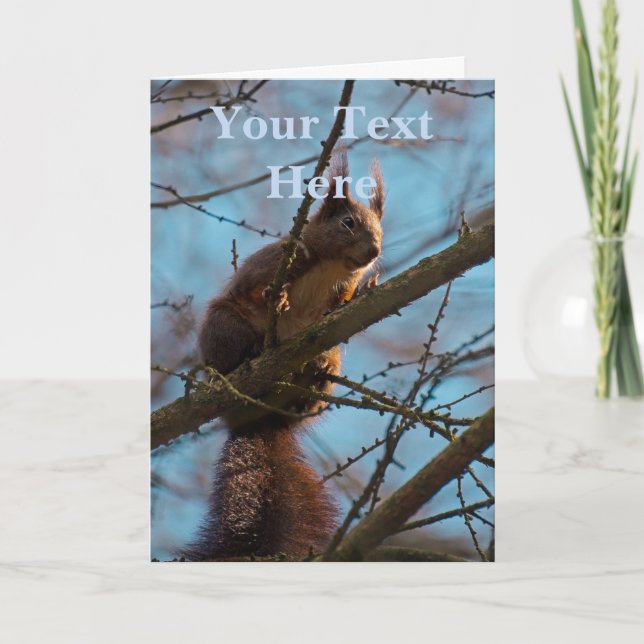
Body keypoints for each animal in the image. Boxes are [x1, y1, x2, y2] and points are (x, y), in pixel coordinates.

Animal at [184, 152, 385, 560]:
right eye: (348, 223)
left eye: (380, 228)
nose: (374, 252)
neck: (332, 265)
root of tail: (258, 417)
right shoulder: (277, 262)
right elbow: (257, 286)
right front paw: (274, 298)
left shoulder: (339, 293)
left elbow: (340, 306)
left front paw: (363, 291)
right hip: (224, 326)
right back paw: (247, 356)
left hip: (328, 351)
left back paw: (315, 379)